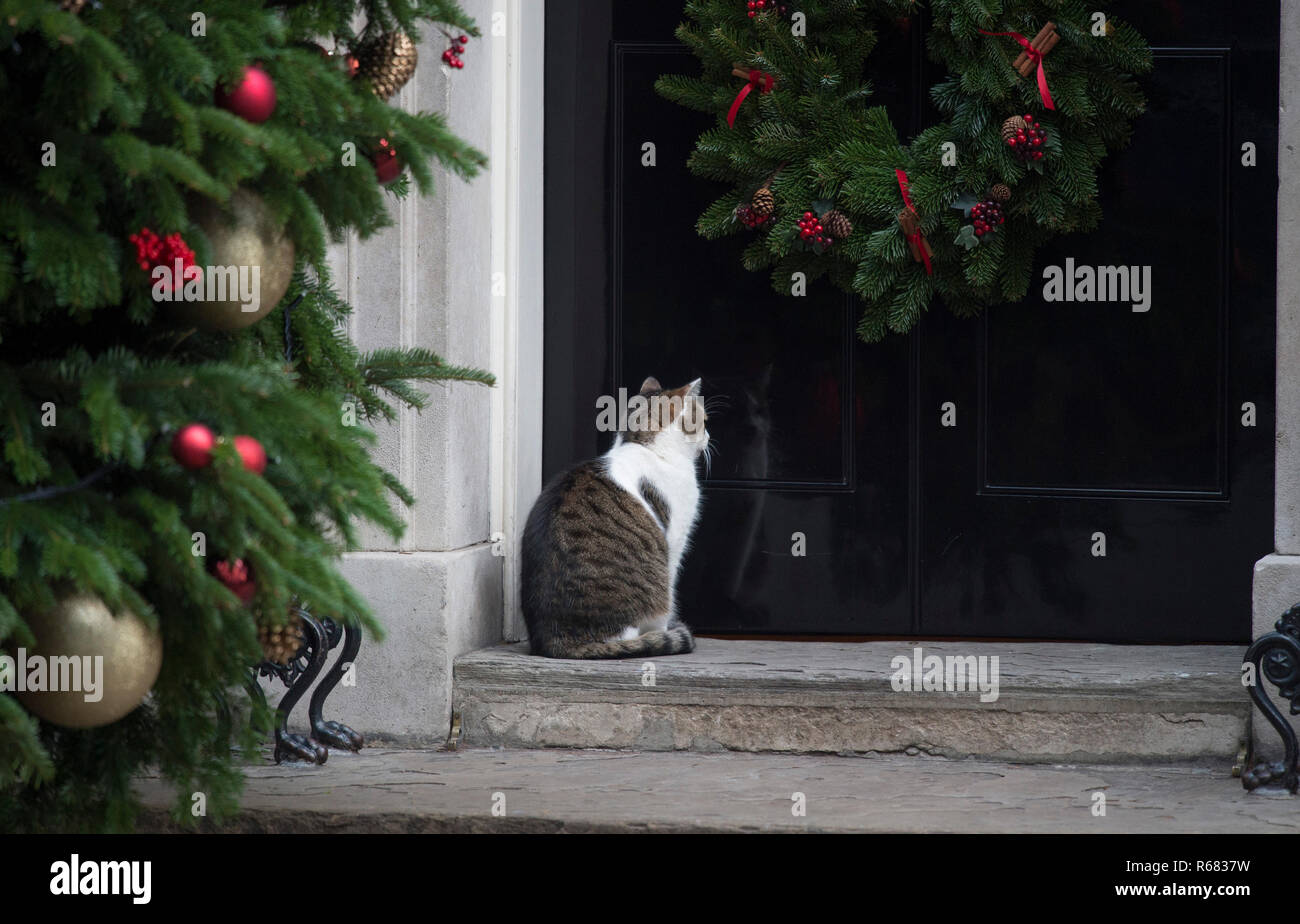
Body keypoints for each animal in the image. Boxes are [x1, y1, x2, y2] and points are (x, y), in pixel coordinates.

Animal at [520, 376, 712, 657]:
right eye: (704, 421)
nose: (709, 437)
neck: (646, 446)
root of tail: (555, 640)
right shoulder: (675, 542)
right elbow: (670, 592)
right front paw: (665, 632)